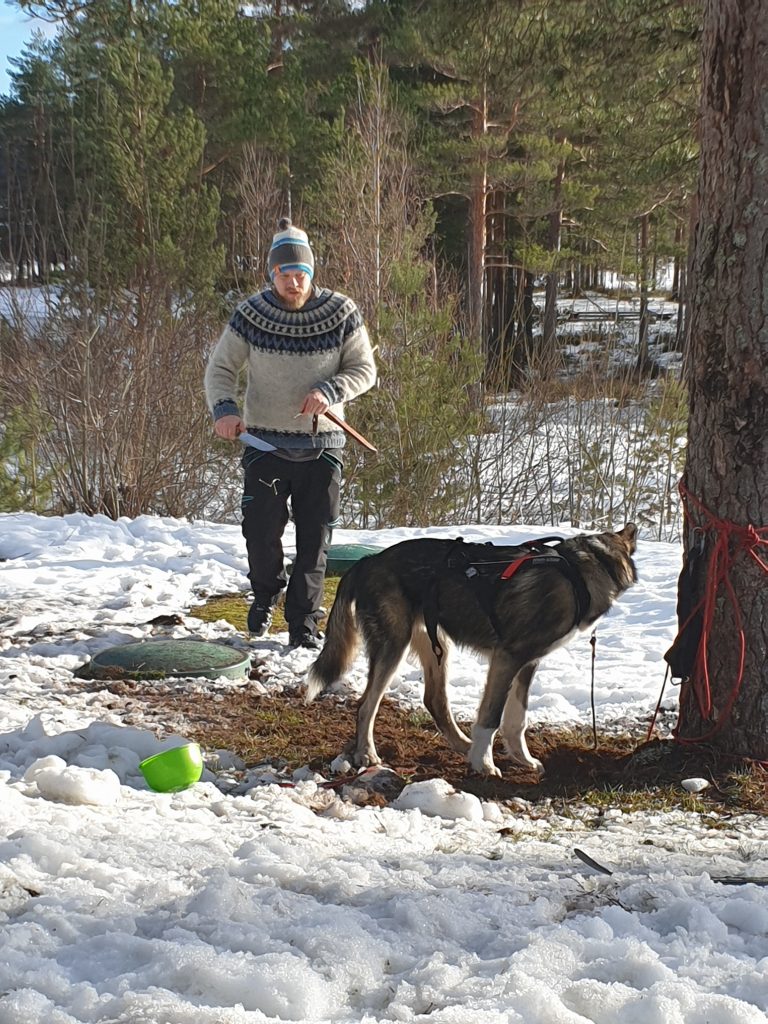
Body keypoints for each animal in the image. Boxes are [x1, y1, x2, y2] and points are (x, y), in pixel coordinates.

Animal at [305, 528, 638, 774]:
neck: (578, 572)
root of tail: (369, 559)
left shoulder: (527, 664)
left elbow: (517, 721)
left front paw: (522, 760)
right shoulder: (507, 659)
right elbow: (491, 718)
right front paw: (484, 764)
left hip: (437, 645)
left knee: (435, 701)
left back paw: (463, 746)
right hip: (393, 647)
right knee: (366, 706)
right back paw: (366, 754)